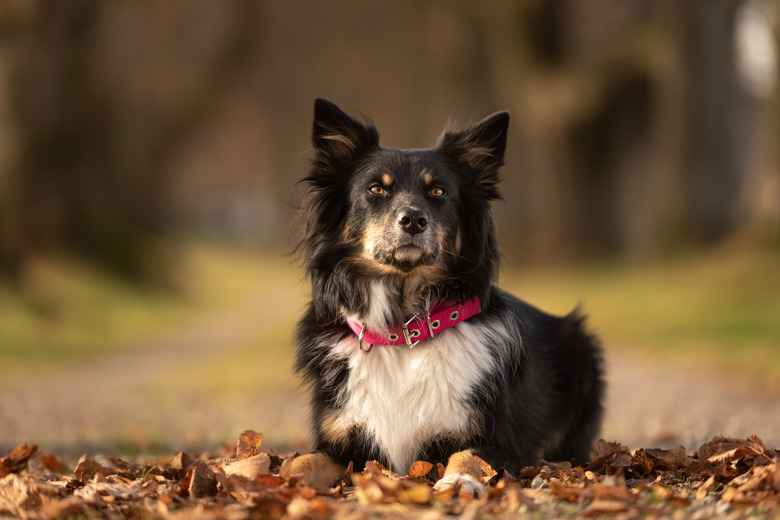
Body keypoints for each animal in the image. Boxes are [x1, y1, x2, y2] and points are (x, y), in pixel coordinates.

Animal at [284, 99, 608, 494]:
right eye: (376, 190)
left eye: (438, 192)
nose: (413, 220)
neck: (404, 327)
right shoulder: (341, 441)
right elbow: (302, 462)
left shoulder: (497, 441)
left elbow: (467, 456)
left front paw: (457, 481)